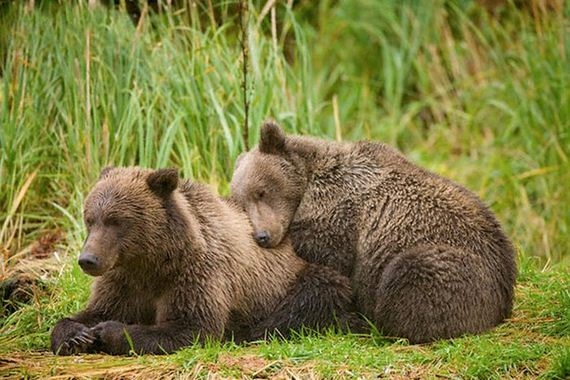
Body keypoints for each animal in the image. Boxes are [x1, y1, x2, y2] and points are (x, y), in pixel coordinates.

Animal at [48, 167, 360, 356]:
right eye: (90, 219)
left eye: (116, 221)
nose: (88, 260)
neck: (153, 261)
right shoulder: (124, 279)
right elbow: (96, 309)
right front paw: (76, 334)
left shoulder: (197, 273)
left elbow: (192, 326)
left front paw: (108, 331)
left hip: (301, 276)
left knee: (314, 294)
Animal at [229, 121, 516, 344]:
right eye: (242, 203)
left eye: (261, 191)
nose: (263, 236)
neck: (310, 185)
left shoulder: (338, 217)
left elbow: (331, 259)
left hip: (455, 266)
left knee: (411, 275)